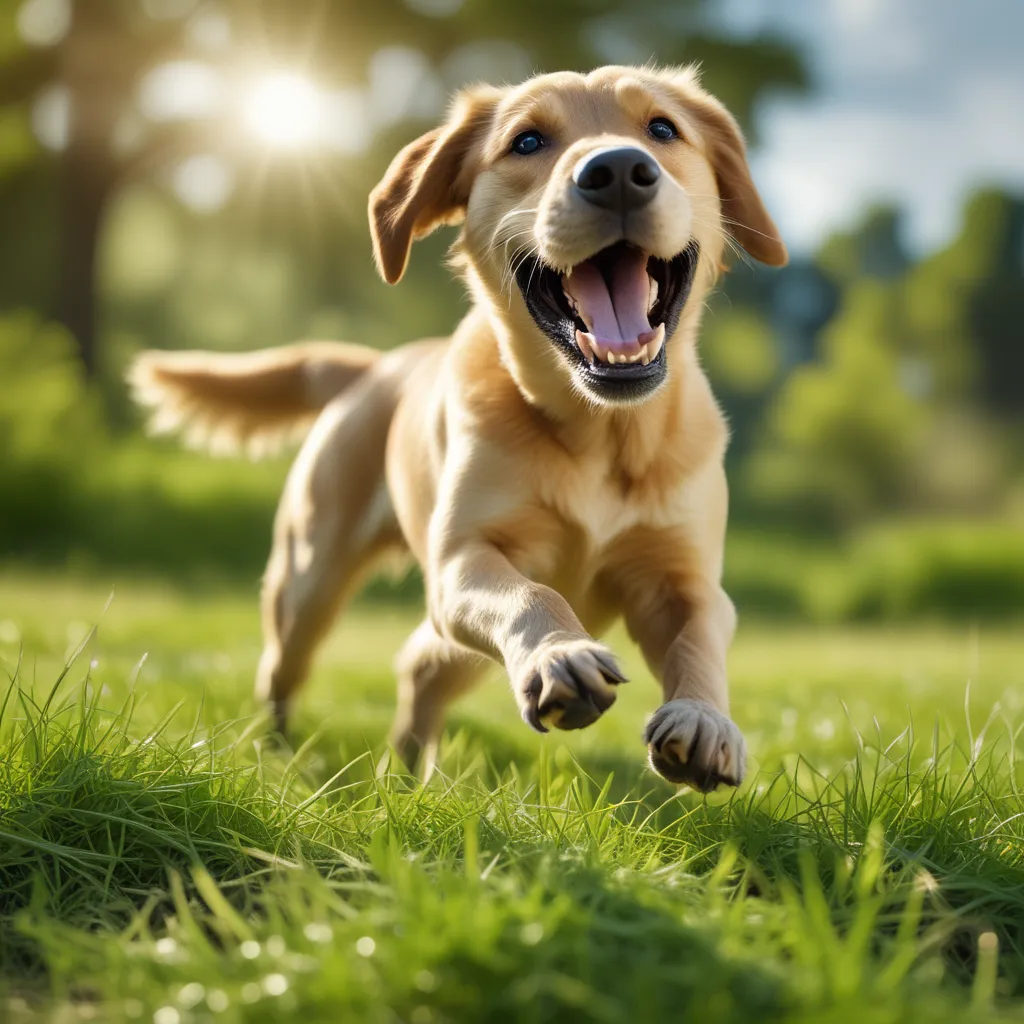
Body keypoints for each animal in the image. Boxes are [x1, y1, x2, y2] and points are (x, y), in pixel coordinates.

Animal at [128, 64, 782, 790]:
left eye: (663, 129)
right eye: (527, 141)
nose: (616, 170)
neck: (597, 432)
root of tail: (376, 365)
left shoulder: (684, 577)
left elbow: (700, 637)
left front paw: (704, 720)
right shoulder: (462, 561)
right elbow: (532, 595)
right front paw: (560, 655)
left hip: (442, 642)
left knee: (419, 664)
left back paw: (410, 774)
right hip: (308, 582)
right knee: (284, 668)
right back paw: (277, 750)